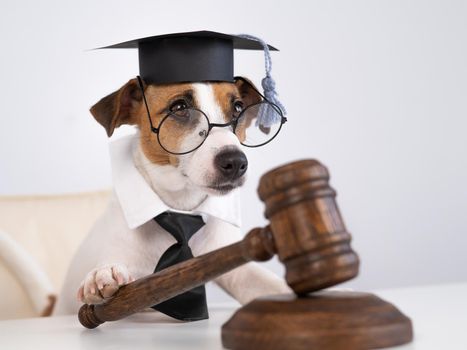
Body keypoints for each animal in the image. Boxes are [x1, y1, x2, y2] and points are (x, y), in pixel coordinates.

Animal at [53, 76, 290, 314]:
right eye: (179, 107)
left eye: (238, 108)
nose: (235, 162)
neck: (180, 205)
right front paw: (102, 275)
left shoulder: (231, 261)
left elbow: (265, 282)